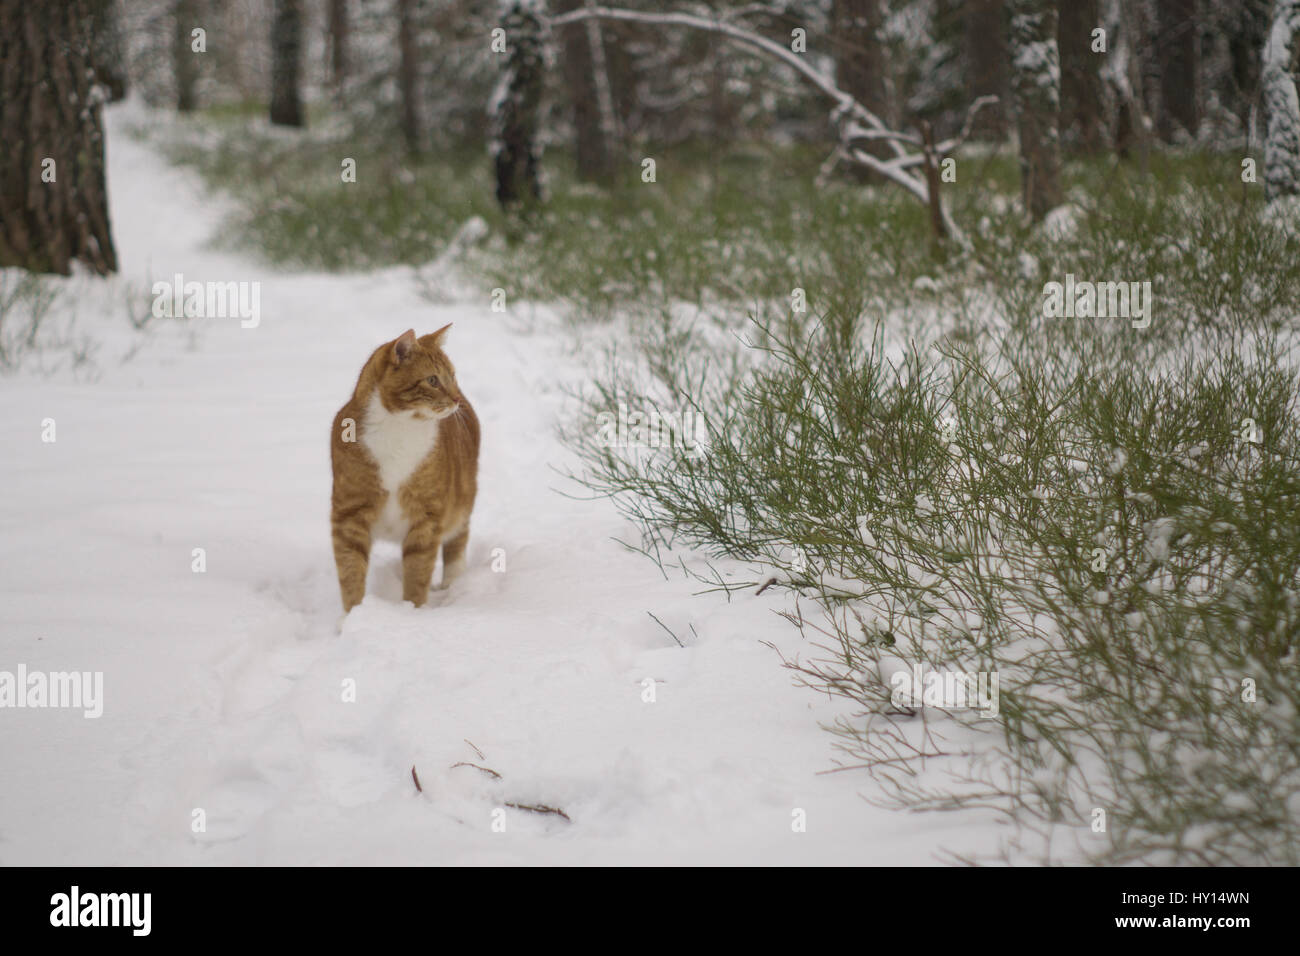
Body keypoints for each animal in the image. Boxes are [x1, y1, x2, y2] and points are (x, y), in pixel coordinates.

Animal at [332, 329, 480, 613]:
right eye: (433, 380)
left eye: (452, 376)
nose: (456, 398)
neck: (398, 428)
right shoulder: (349, 515)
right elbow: (350, 570)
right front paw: (352, 616)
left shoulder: (427, 516)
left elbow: (417, 570)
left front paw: (412, 613)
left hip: (462, 499)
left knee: (457, 538)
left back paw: (451, 585)